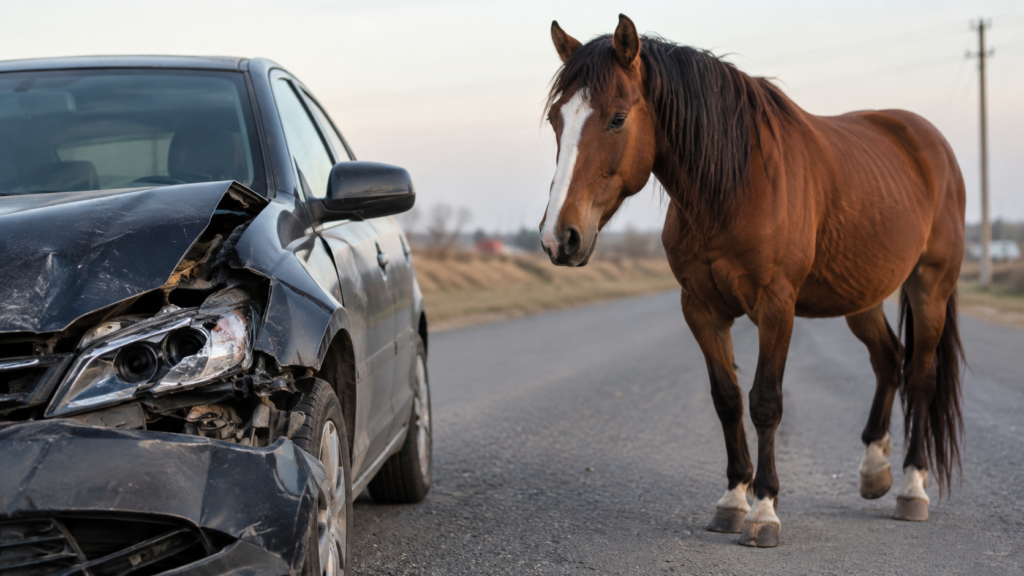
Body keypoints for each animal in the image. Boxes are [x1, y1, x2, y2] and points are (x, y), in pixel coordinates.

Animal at [539, 14, 965, 548]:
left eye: (617, 118)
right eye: (557, 120)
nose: (560, 238)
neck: (735, 185)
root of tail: (927, 141)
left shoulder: (776, 307)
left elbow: (765, 402)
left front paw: (764, 510)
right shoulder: (700, 308)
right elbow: (727, 399)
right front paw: (732, 500)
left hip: (930, 287)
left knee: (921, 376)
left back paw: (912, 487)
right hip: (861, 295)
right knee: (889, 360)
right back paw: (874, 470)